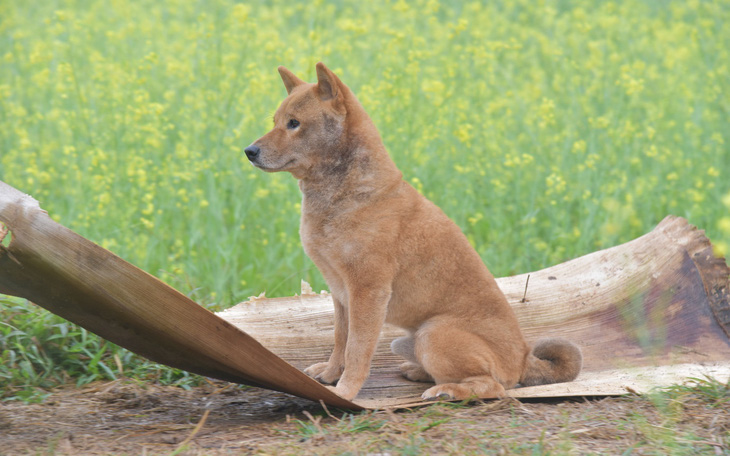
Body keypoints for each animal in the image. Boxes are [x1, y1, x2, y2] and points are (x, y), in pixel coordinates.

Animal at [245, 62, 580, 400]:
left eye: (294, 123)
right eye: (275, 121)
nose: (249, 150)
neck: (346, 197)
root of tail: (524, 357)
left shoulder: (368, 291)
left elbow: (357, 350)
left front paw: (346, 391)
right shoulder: (341, 294)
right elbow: (340, 342)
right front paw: (329, 375)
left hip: (433, 334)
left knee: (491, 386)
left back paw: (446, 391)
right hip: (406, 341)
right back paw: (419, 373)